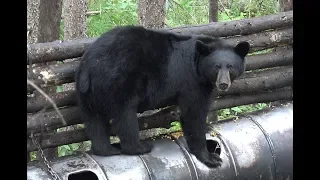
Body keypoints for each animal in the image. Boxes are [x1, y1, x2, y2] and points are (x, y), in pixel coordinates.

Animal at [75, 25, 250, 167]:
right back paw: (139, 147)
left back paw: (105, 149)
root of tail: (89, 65)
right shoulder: (191, 81)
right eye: (216, 67)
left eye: (230, 67)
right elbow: (193, 113)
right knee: (124, 115)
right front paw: (210, 157)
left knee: (94, 119)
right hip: (119, 80)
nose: (223, 84)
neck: (198, 64)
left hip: (87, 92)